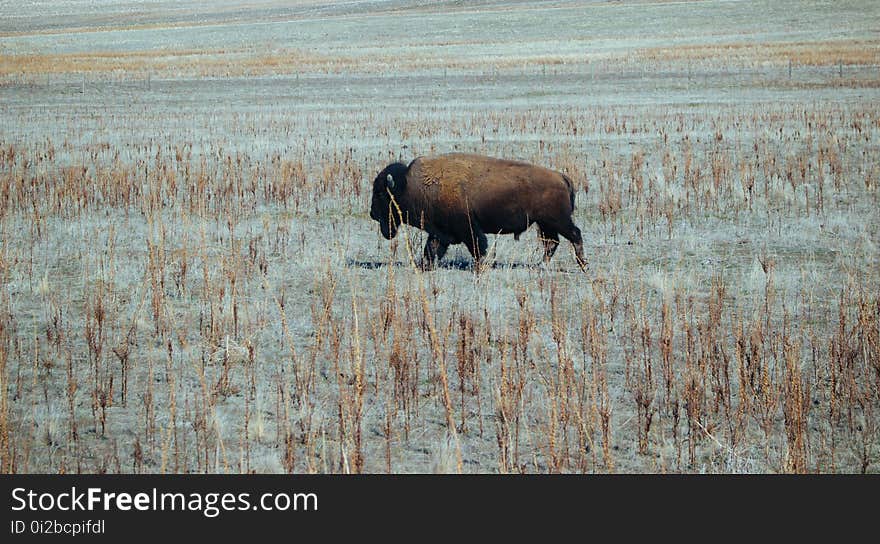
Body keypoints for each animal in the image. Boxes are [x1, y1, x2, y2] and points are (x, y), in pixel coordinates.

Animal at [368, 152, 588, 270]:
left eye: (380, 194)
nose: (372, 213)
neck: (409, 186)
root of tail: (561, 177)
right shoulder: (439, 232)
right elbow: (431, 249)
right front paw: (425, 266)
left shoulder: (468, 228)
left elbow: (477, 247)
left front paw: (480, 266)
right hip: (545, 224)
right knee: (552, 243)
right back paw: (541, 265)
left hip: (557, 221)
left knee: (574, 235)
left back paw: (582, 264)